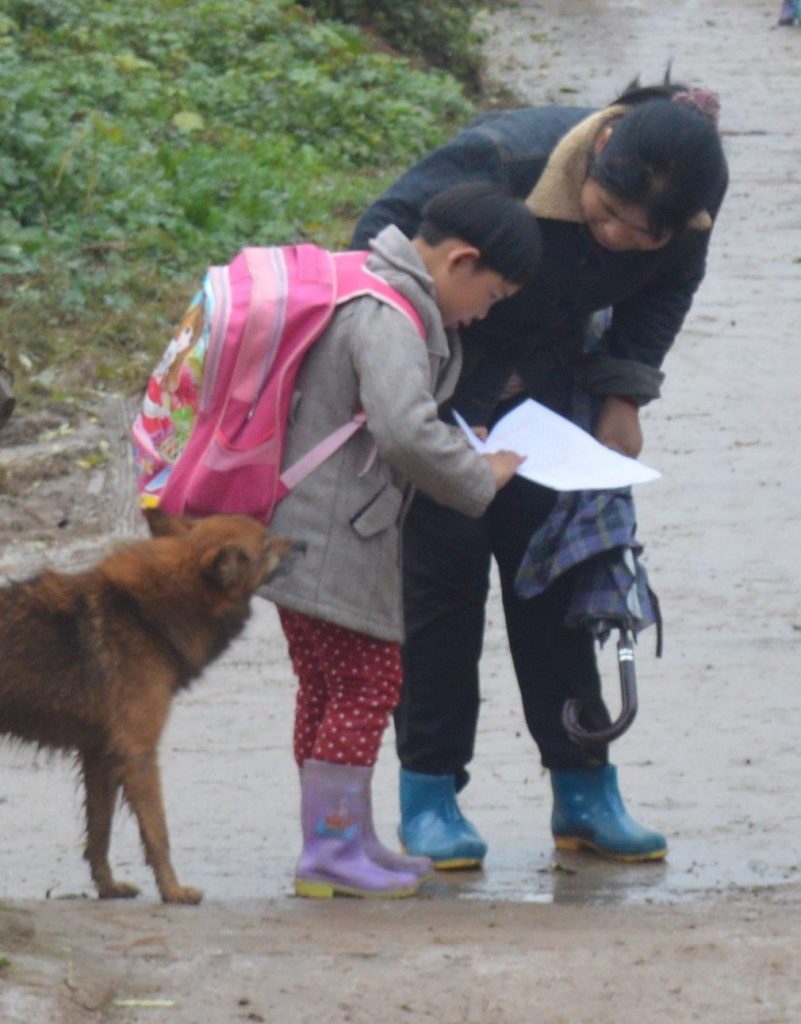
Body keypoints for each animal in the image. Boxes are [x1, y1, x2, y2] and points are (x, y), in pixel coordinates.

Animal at [0, 512, 301, 905]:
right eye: (266, 545)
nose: (303, 545)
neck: (144, 616)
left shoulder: (100, 755)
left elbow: (100, 835)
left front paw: (108, 888)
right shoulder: (138, 754)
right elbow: (158, 834)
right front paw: (173, 891)